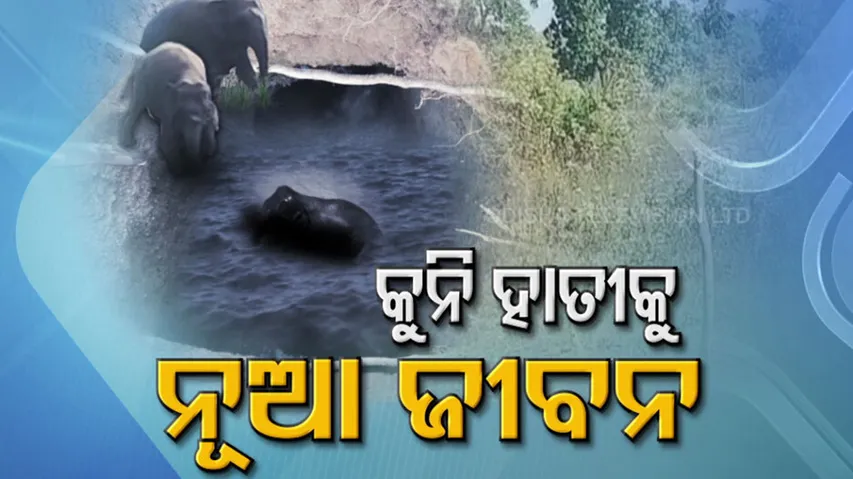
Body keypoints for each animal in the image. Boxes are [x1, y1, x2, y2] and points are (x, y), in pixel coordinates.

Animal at [119, 42, 220, 176]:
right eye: (192, 117)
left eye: (212, 125)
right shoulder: (169, 106)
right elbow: (168, 141)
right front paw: (178, 173)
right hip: (142, 77)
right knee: (137, 103)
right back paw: (127, 143)